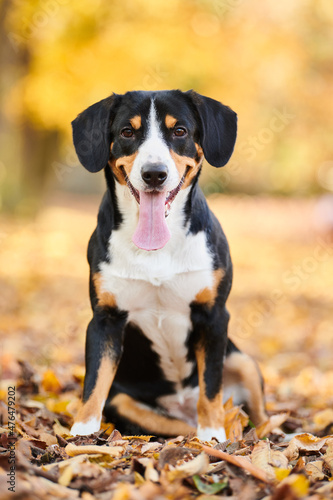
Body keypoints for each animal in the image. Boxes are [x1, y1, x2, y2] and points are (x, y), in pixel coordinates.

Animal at [70, 90, 268, 442]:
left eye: (179, 131)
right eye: (127, 132)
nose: (154, 173)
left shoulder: (213, 316)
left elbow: (211, 386)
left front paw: (213, 434)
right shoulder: (105, 319)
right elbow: (93, 384)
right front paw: (81, 436)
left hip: (242, 360)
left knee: (259, 418)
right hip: (125, 402)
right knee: (176, 428)